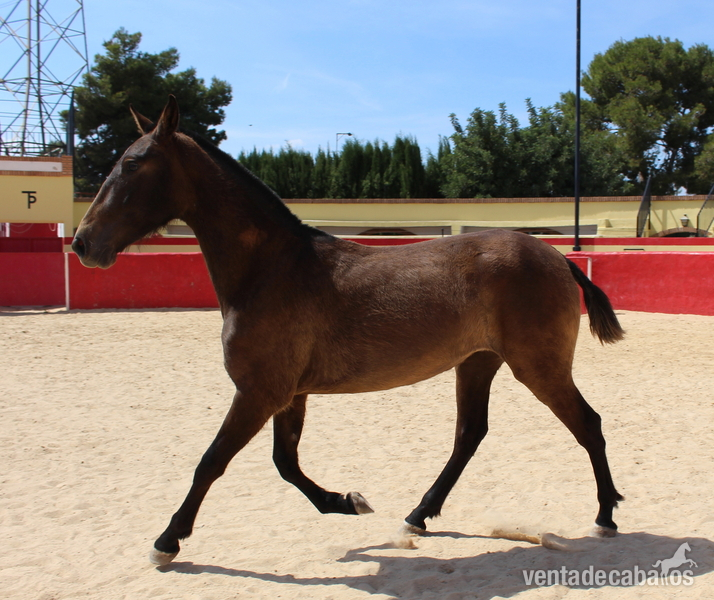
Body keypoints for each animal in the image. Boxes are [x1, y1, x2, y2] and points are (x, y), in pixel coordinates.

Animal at [72, 96, 625, 567]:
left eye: (132, 164)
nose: (82, 243)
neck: (272, 269)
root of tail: (557, 255)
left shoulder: (257, 392)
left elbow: (212, 461)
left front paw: (167, 541)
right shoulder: (288, 394)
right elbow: (285, 462)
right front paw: (348, 501)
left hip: (538, 366)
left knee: (588, 424)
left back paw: (605, 516)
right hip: (477, 363)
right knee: (470, 435)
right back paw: (417, 516)